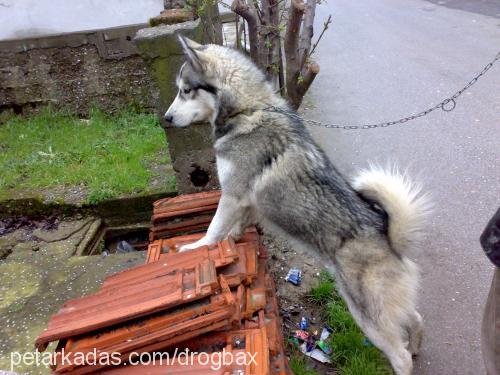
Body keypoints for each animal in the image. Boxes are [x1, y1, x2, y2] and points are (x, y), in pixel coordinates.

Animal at [164, 35, 430, 375]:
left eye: (186, 90)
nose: (166, 119)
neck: (248, 109)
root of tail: (388, 236)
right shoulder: (248, 202)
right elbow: (235, 227)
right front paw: (233, 240)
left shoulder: (232, 196)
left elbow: (213, 229)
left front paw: (197, 247)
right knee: (416, 320)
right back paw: (418, 345)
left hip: (368, 318)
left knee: (401, 355)